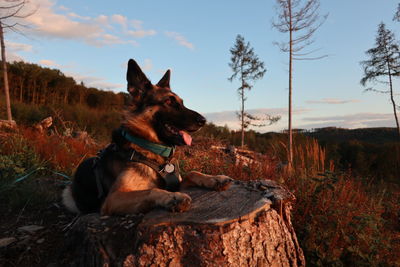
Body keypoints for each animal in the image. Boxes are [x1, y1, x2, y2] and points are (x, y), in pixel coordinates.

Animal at [61, 58, 233, 216]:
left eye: (182, 102)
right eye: (169, 101)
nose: (203, 120)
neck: (150, 148)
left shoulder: (176, 182)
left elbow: (192, 173)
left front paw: (215, 179)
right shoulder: (113, 198)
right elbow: (152, 190)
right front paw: (173, 197)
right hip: (68, 196)